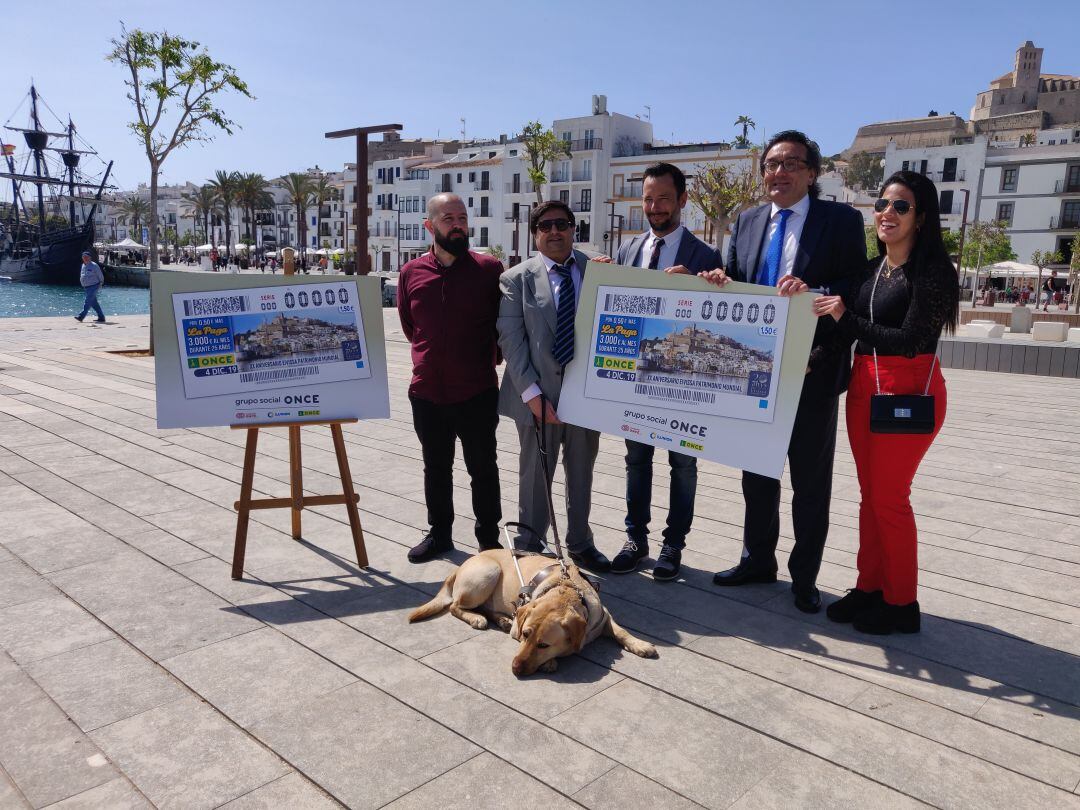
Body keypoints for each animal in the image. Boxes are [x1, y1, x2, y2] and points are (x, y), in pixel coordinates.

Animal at [406, 548, 652, 673]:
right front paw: (550, 662)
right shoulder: (519, 626)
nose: (515, 668)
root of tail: (459, 567)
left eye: (544, 645)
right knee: (455, 606)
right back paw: (477, 618)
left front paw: (640, 645)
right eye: (525, 635)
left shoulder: (603, 615)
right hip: (489, 572)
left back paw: (501, 619)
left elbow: (621, 631)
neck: (565, 589)